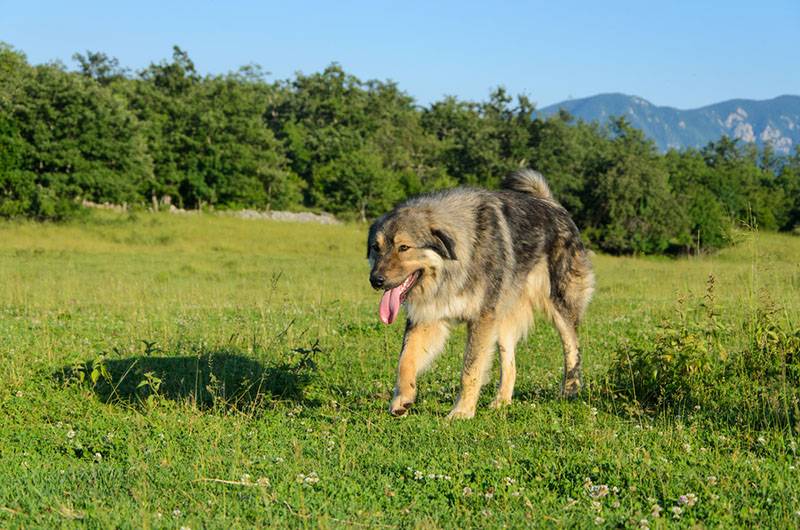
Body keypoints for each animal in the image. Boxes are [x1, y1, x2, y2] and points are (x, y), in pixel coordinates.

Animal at [368, 169, 592, 416]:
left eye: (404, 248)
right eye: (376, 248)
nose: (375, 280)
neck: (454, 265)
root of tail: (551, 203)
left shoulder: (481, 319)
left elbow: (471, 369)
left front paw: (462, 412)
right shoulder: (428, 317)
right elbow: (405, 359)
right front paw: (402, 399)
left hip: (559, 304)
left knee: (572, 346)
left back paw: (570, 389)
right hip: (502, 320)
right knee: (510, 364)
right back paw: (502, 401)